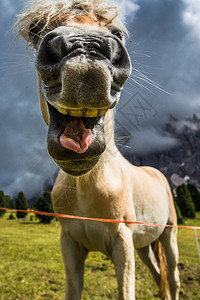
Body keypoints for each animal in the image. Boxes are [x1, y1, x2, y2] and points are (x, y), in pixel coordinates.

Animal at [15, 1, 180, 298]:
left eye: (118, 32)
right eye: (35, 30)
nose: (84, 52)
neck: (86, 184)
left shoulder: (123, 243)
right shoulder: (70, 244)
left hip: (168, 235)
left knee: (172, 278)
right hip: (144, 247)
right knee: (158, 275)